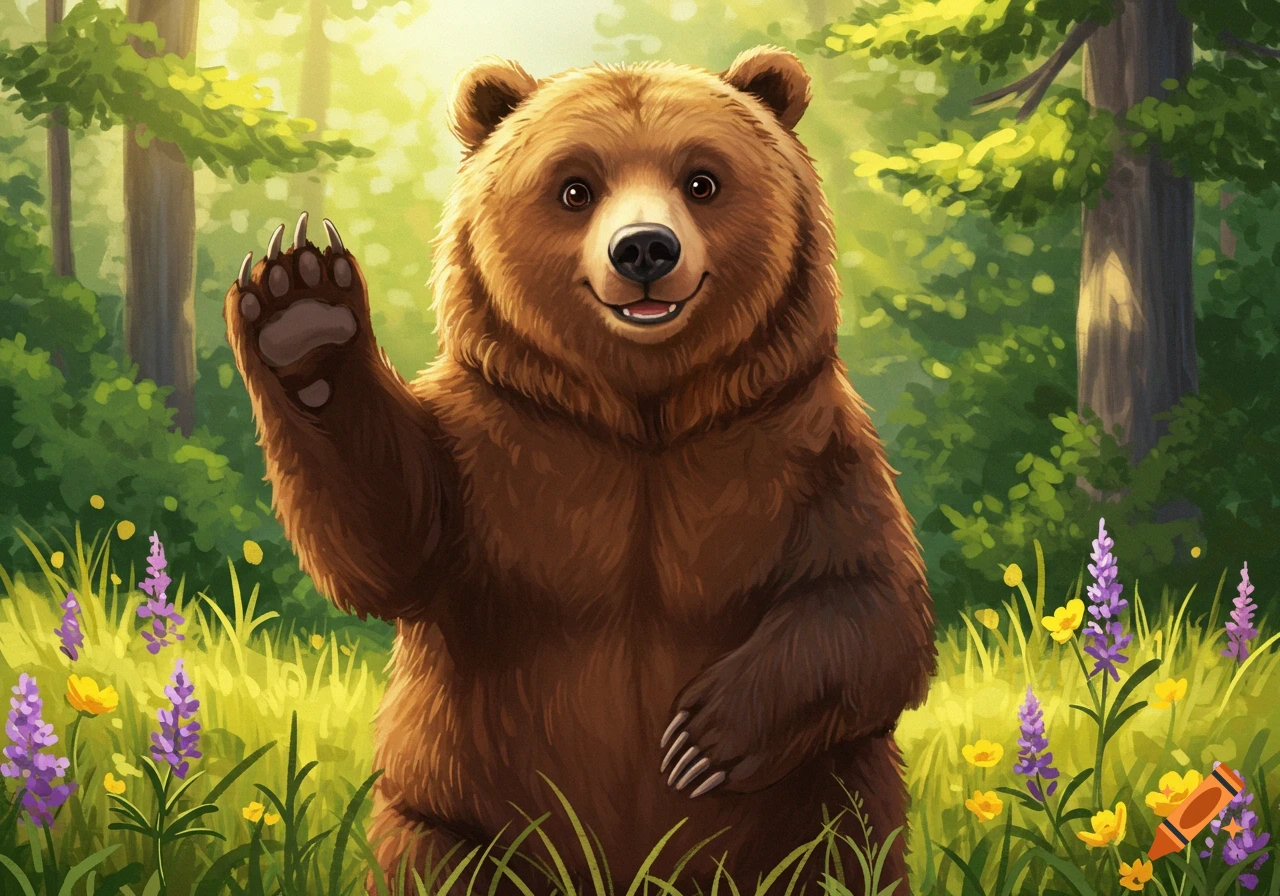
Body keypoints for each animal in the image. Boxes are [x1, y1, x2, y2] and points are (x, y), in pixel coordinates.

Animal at [223, 46, 937, 894]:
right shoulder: (500, 446)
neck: (640, 415)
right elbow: (390, 545)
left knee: (843, 848)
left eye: (702, 179)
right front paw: (302, 310)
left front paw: (699, 737)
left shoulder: (804, 442)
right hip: (450, 817)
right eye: (574, 187)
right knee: (434, 860)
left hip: (821, 800)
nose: (644, 249)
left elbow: (874, 603)